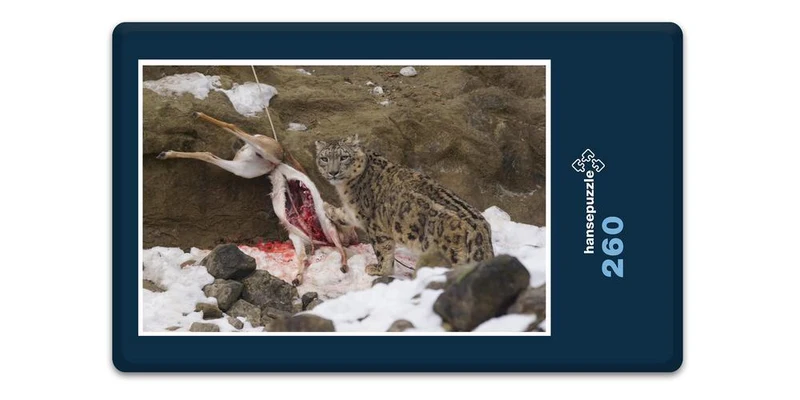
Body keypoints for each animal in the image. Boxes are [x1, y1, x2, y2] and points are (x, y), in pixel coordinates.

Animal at [314, 136, 494, 276]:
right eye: (324, 159)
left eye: (344, 157)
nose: (333, 172)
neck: (346, 188)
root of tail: (479, 231)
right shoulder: (355, 213)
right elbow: (345, 214)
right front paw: (327, 208)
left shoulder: (375, 227)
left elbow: (383, 250)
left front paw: (379, 270)